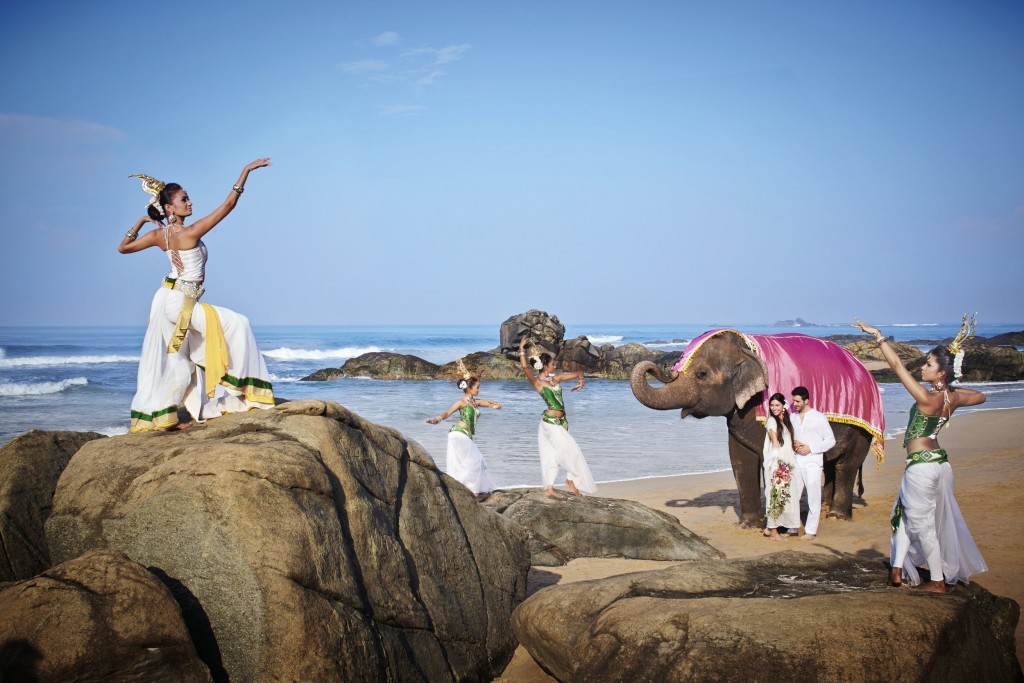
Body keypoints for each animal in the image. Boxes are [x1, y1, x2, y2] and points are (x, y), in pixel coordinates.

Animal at [630, 331, 880, 528]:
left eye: (702, 374)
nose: (662, 369)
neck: (745, 348)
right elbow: (740, 460)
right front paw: (748, 525)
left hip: (862, 430)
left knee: (846, 465)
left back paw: (837, 516)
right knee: (830, 464)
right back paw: (825, 508)